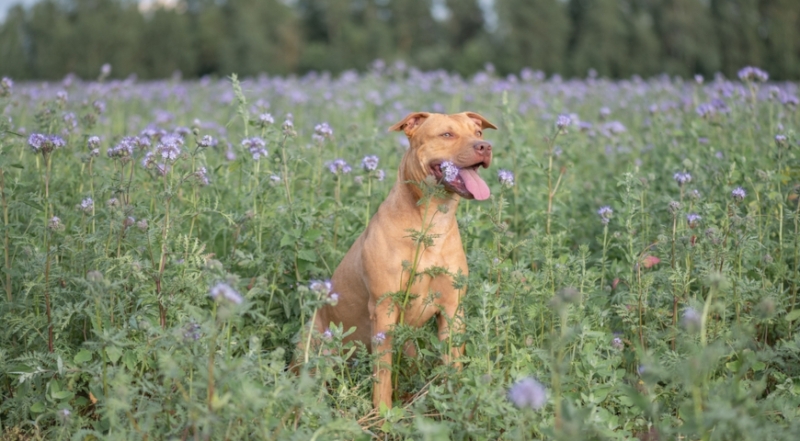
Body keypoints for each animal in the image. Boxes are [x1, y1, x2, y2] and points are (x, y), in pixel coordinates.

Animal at [306, 111, 494, 408]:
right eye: (447, 134)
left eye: (478, 133)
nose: (485, 147)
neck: (431, 222)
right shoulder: (384, 309)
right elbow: (382, 375)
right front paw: (382, 414)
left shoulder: (453, 309)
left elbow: (452, 364)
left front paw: (454, 403)